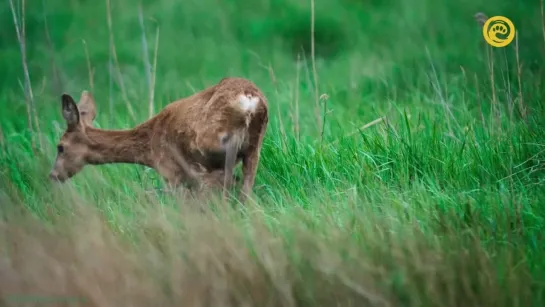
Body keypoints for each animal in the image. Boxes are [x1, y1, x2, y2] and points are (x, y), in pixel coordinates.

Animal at [49, 77, 268, 202]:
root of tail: (250, 100)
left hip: (212, 144)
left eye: (60, 147)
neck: (149, 149)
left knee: (226, 180)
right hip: (254, 147)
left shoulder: (171, 173)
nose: (53, 175)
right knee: (245, 189)